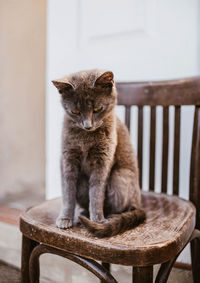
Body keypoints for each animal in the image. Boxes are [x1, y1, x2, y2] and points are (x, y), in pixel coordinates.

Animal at [52, 69, 145, 237]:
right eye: (75, 111)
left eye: (97, 109)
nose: (87, 126)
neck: (86, 138)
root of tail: (139, 204)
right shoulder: (68, 158)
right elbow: (68, 192)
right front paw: (65, 218)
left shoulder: (103, 160)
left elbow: (96, 193)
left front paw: (98, 220)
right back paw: (84, 212)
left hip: (119, 177)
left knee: (121, 207)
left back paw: (107, 217)